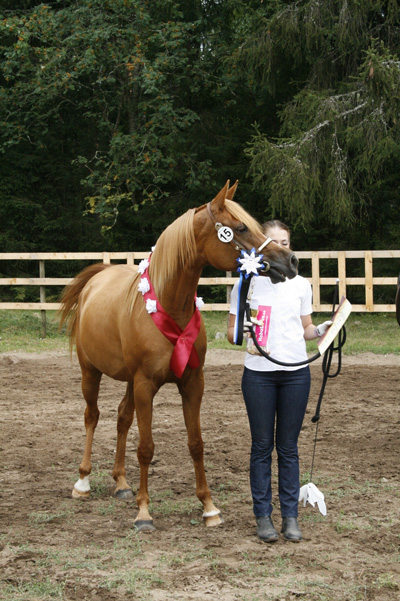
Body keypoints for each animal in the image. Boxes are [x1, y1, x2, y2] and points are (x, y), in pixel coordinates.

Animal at [58, 179, 296, 528]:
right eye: (240, 228)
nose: (291, 260)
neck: (170, 304)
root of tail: (97, 277)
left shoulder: (192, 383)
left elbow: (196, 444)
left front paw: (209, 507)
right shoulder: (146, 385)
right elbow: (146, 447)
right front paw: (144, 512)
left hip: (129, 381)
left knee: (122, 417)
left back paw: (122, 483)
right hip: (91, 372)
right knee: (92, 416)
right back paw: (83, 482)